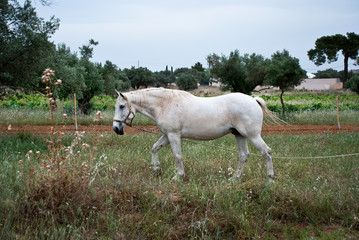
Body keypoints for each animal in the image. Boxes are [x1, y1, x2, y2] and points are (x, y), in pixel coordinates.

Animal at [114, 88, 278, 182]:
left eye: (121, 106)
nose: (116, 128)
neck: (165, 104)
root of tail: (254, 100)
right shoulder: (167, 136)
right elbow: (154, 148)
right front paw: (156, 169)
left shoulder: (173, 135)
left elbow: (177, 156)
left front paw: (178, 176)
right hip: (240, 135)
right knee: (244, 155)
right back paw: (235, 178)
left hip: (253, 135)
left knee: (266, 152)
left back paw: (270, 178)